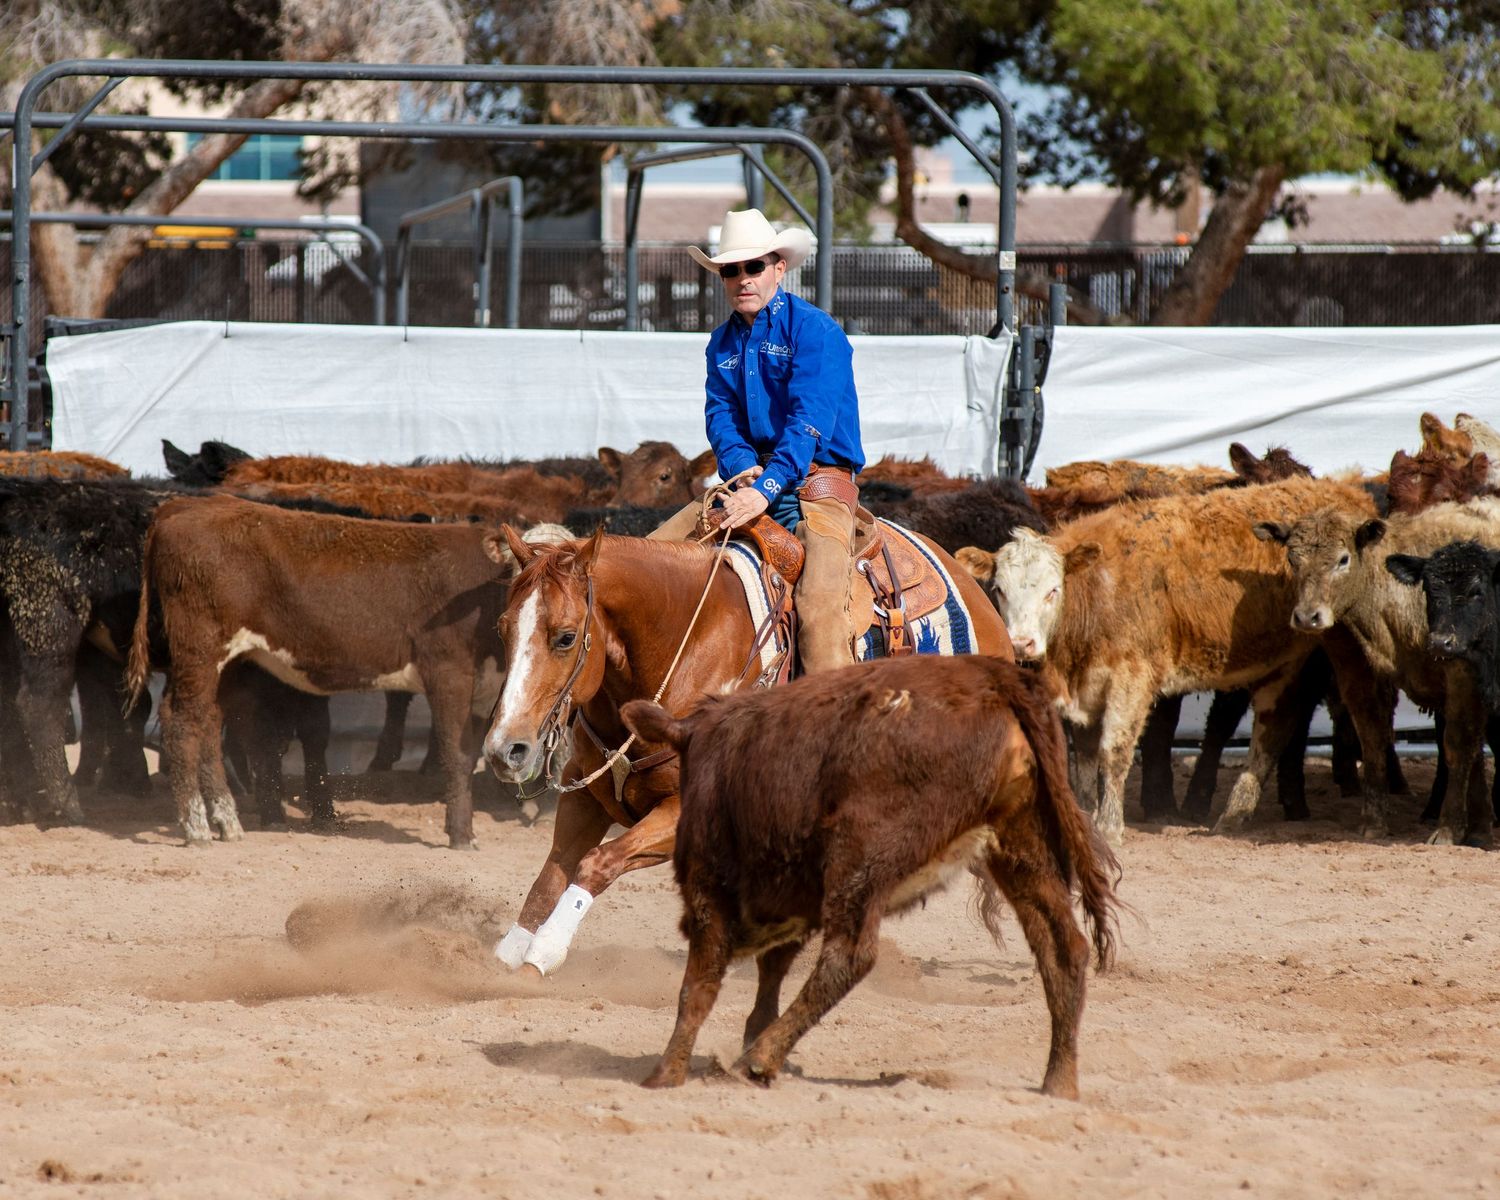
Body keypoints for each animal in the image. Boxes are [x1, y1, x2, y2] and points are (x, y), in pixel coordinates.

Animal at [126, 495, 531, 848]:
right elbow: (457, 755)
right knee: (182, 721)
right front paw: (462, 837)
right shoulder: (448, 674)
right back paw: (195, 827)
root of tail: (189, 504)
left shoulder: (483, 689)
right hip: (200, 649)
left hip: (227, 663)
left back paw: (227, 822)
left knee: (208, 721)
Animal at [619, 653, 1119, 1097]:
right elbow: (770, 972)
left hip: (860, 855)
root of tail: (993, 676)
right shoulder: (789, 904)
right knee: (1062, 950)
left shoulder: (710, 892)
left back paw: (758, 1061)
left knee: (850, 955)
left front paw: (666, 1073)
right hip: (1024, 847)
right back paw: (1059, 1082)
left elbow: (698, 987)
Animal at [969, 477, 1383, 844]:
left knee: (1345, 718)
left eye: (1053, 590)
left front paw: (1110, 827)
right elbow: (1083, 757)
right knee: (1274, 728)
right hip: (1282, 664)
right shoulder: (1080, 693)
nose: (1021, 643)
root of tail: (1349, 491)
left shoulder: (1132, 680)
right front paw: (1085, 818)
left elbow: (1113, 752)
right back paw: (1236, 814)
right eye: (999, 589)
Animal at [1258, 499, 1500, 847]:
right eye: (1292, 559)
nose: (1307, 617)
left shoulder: (1463, 677)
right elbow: (1373, 742)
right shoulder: (1360, 675)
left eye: (1343, 559)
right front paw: (1374, 823)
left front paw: (1450, 829)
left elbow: (1459, 748)